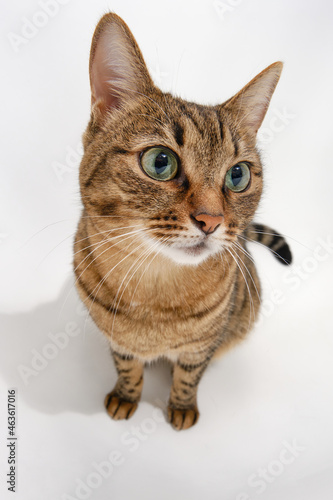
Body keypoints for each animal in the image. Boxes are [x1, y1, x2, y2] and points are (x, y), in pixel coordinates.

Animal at [73, 13, 290, 432]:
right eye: (160, 162)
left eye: (237, 175)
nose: (211, 220)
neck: (156, 293)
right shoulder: (116, 339)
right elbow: (126, 366)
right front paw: (126, 396)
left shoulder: (203, 346)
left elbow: (190, 375)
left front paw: (182, 406)